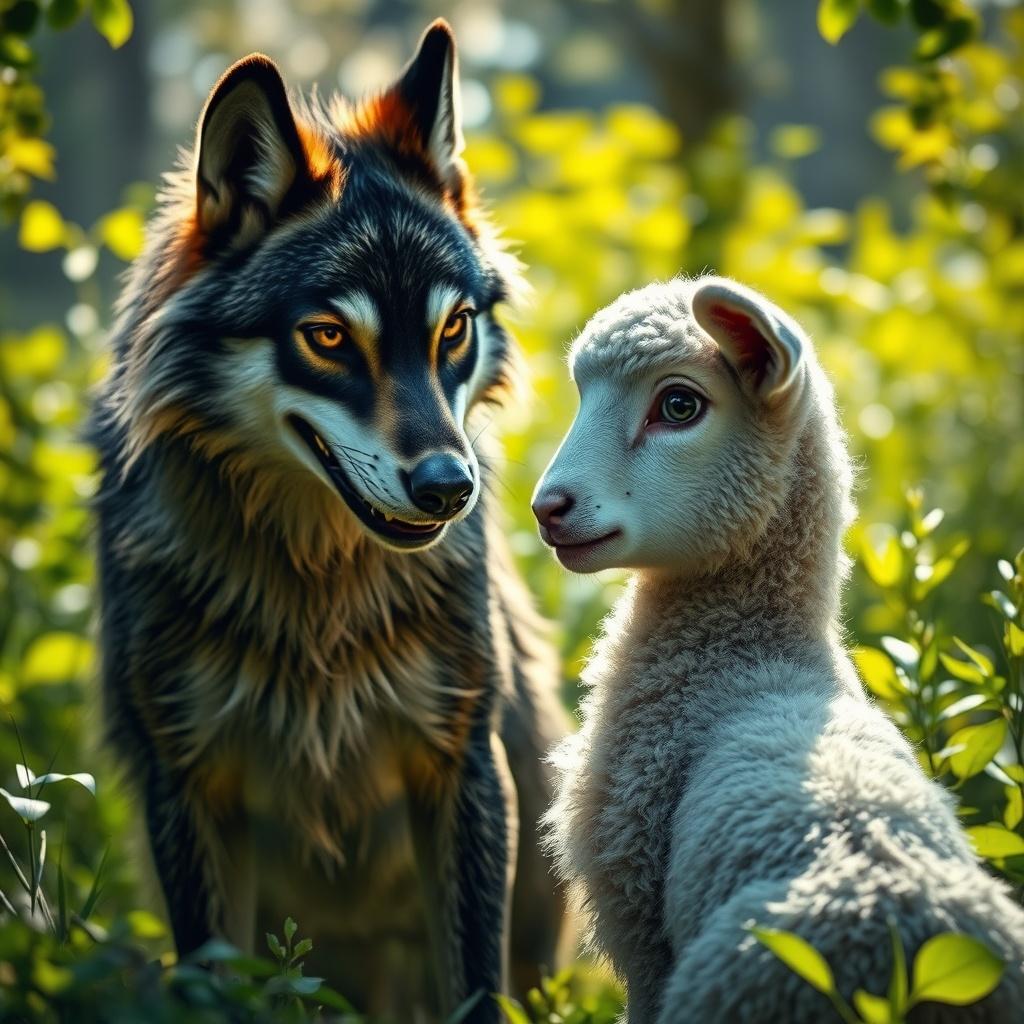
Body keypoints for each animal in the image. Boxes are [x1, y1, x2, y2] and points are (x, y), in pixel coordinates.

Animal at [88, 21, 567, 1021]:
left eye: (453, 329)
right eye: (330, 337)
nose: (449, 487)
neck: (318, 591)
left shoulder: (460, 765)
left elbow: (476, 983)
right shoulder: (187, 783)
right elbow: (215, 981)